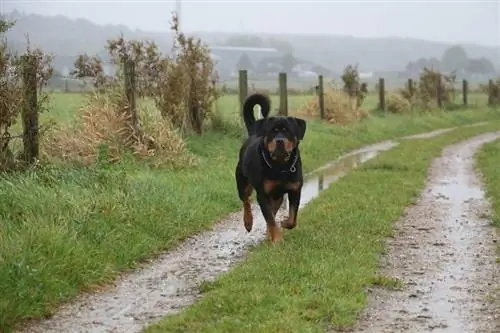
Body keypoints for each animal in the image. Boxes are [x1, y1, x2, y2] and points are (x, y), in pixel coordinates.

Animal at [234, 92, 304, 243]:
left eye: (288, 131)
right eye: (272, 132)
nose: (280, 141)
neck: (281, 167)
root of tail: (252, 134)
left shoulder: (295, 190)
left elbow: (292, 218)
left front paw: (284, 224)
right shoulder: (262, 194)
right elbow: (270, 218)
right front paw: (277, 239)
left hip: (277, 196)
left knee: (273, 211)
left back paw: (268, 234)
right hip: (243, 183)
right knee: (246, 201)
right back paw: (248, 222)